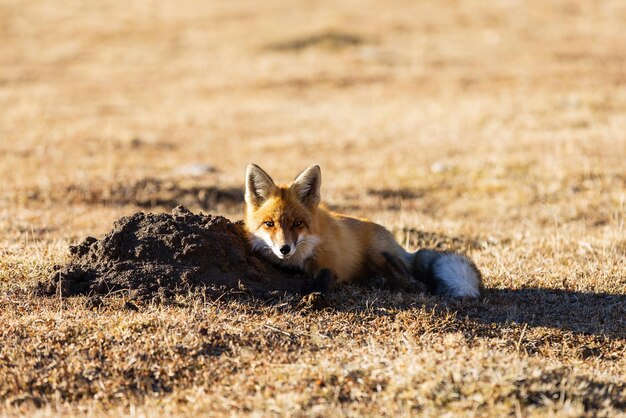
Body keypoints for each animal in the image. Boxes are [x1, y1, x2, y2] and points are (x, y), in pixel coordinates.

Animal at [241, 163, 480, 298]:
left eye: (297, 223)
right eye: (269, 224)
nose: (284, 248)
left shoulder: (331, 259)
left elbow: (325, 276)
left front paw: (313, 294)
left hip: (377, 253)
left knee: (411, 279)